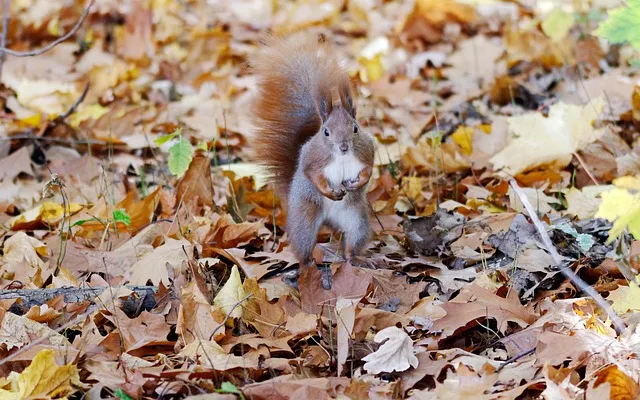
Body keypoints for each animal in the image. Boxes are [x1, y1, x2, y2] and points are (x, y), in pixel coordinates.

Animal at [250, 32, 378, 288]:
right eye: (326, 132)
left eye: (355, 128)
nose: (343, 146)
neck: (342, 156)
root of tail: (330, 221)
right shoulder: (312, 157)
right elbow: (311, 173)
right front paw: (330, 191)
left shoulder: (366, 150)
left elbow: (369, 168)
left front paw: (357, 183)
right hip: (305, 220)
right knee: (304, 248)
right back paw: (308, 266)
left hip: (357, 221)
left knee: (351, 247)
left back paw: (356, 259)